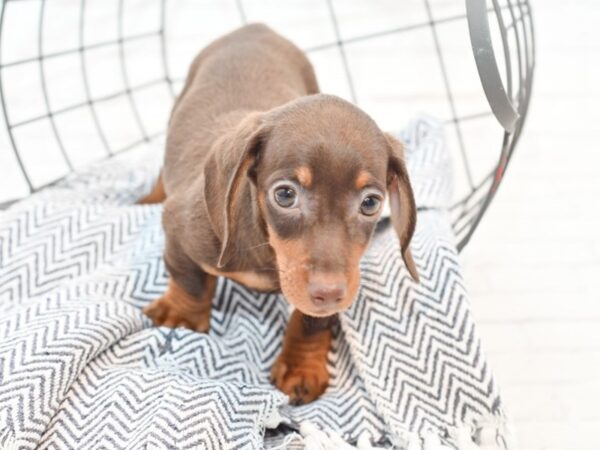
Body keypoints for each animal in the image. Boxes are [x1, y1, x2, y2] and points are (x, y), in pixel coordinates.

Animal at [142, 23, 420, 404]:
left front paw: (301, 365)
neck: (267, 245)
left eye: (371, 203)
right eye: (285, 195)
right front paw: (180, 318)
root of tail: (254, 27)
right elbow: (190, 282)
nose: (329, 292)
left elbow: (311, 320)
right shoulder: (180, 232)